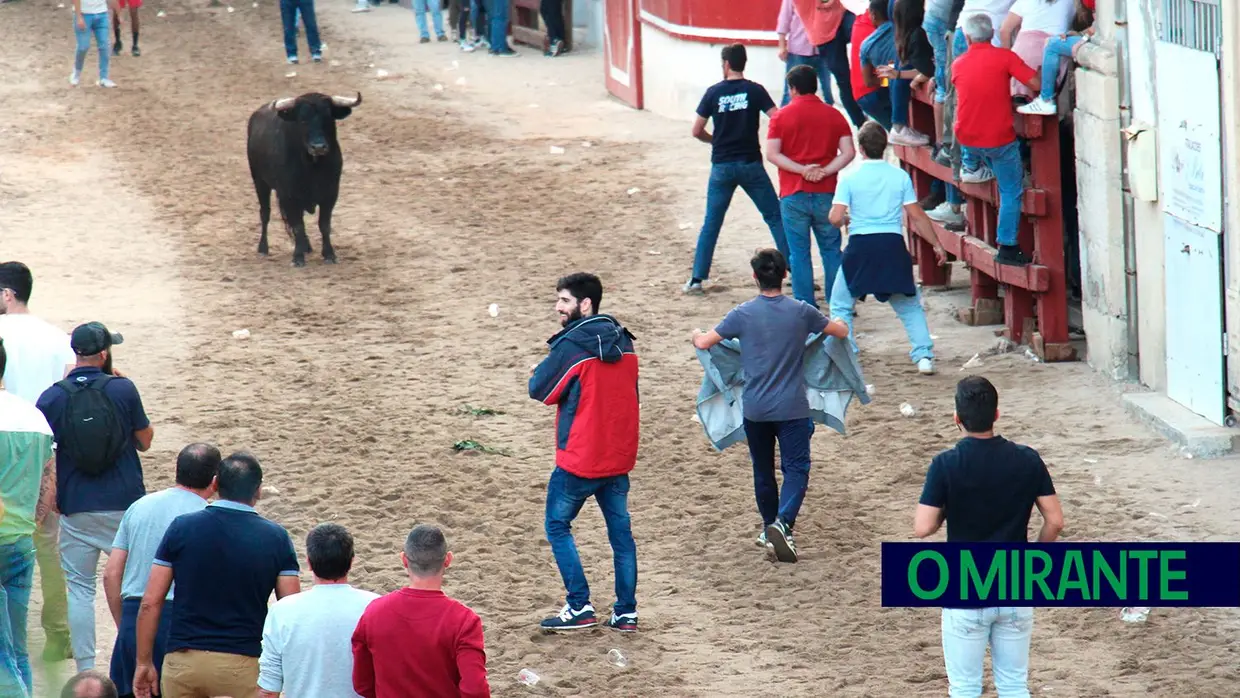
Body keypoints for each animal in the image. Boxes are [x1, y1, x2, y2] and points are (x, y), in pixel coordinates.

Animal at [246, 91, 362, 266]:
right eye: (302, 120)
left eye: (328, 117)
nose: (318, 147)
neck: (312, 168)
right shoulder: (289, 196)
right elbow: (297, 225)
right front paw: (298, 257)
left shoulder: (330, 195)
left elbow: (324, 225)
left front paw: (329, 254)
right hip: (259, 181)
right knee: (265, 213)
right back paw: (263, 248)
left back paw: (306, 246)